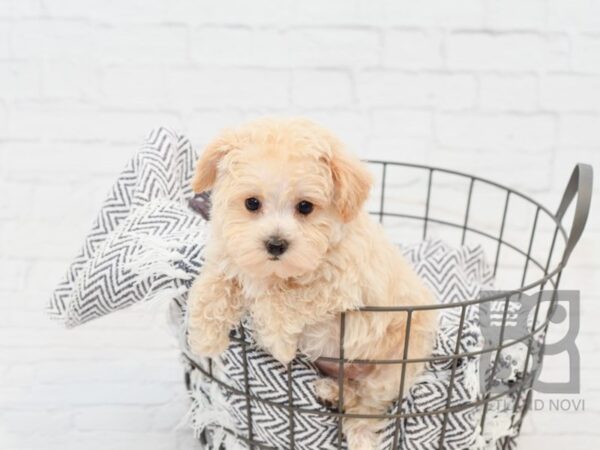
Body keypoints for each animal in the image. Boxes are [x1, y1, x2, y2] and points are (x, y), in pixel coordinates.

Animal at [186, 117, 436, 450]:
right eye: (252, 203)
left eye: (305, 207)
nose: (275, 244)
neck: (275, 272)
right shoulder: (232, 258)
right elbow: (214, 284)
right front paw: (204, 336)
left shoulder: (338, 286)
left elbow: (284, 299)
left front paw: (276, 342)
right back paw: (331, 392)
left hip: (395, 365)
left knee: (367, 404)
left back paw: (356, 428)